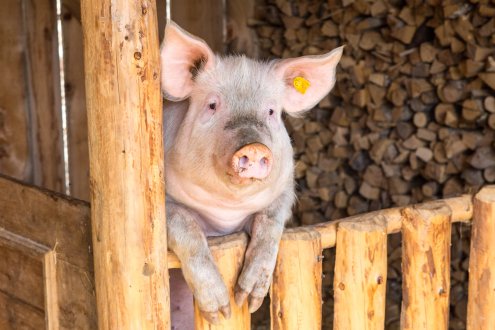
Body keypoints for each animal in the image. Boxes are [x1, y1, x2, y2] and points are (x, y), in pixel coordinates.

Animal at [161, 21, 342, 328]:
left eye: (270, 111)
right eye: (212, 105)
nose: (254, 147)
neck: (226, 210)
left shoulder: (284, 191)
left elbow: (270, 225)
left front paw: (248, 299)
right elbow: (185, 225)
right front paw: (221, 311)